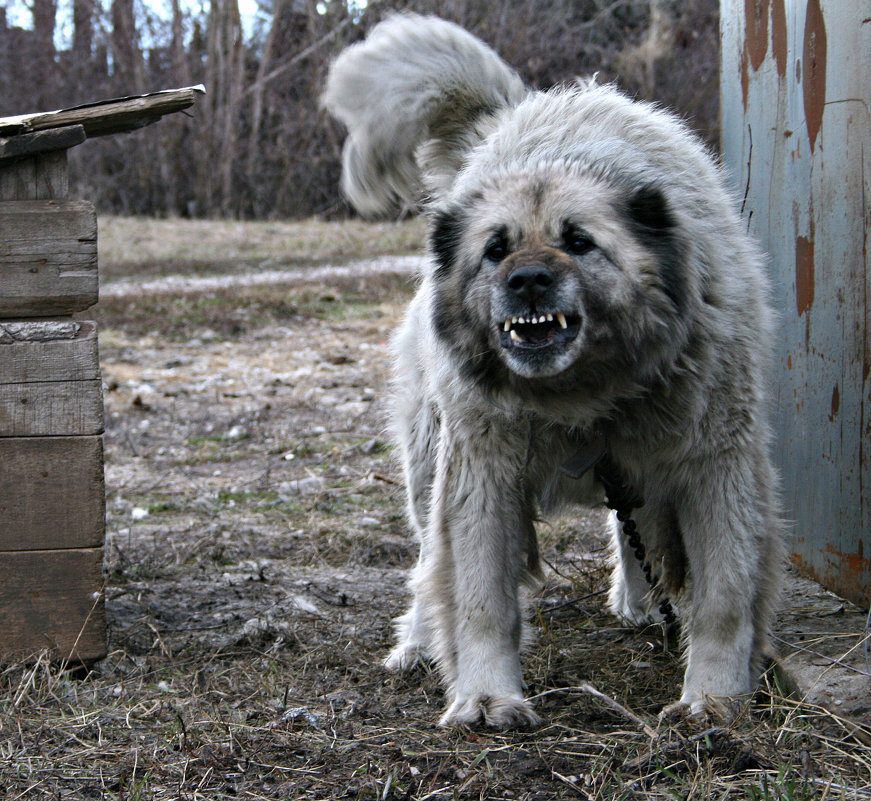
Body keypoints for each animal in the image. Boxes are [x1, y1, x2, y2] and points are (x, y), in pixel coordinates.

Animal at [322, 12, 784, 728]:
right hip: (429, 464)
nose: (529, 280)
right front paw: (487, 695)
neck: (588, 394)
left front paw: (714, 698)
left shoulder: (716, 465)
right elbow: (481, 598)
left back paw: (640, 604)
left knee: (634, 529)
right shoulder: (482, 471)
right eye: (495, 250)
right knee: (429, 563)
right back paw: (420, 643)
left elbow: (724, 597)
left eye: (579, 242)